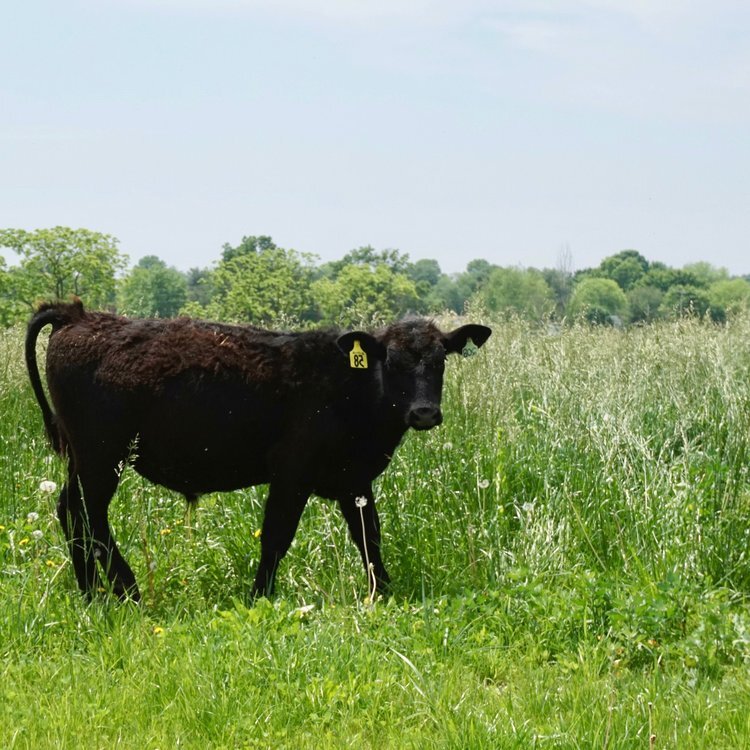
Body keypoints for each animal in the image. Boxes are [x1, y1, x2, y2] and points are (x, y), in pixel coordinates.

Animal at [25, 299, 491, 602]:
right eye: (391, 362)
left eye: (441, 360)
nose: (425, 412)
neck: (347, 387)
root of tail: (78, 315)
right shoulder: (292, 471)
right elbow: (276, 536)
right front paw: (259, 596)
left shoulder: (354, 478)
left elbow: (368, 536)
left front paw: (384, 592)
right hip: (102, 456)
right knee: (88, 516)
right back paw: (123, 591)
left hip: (84, 458)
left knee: (72, 512)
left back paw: (94, 593)